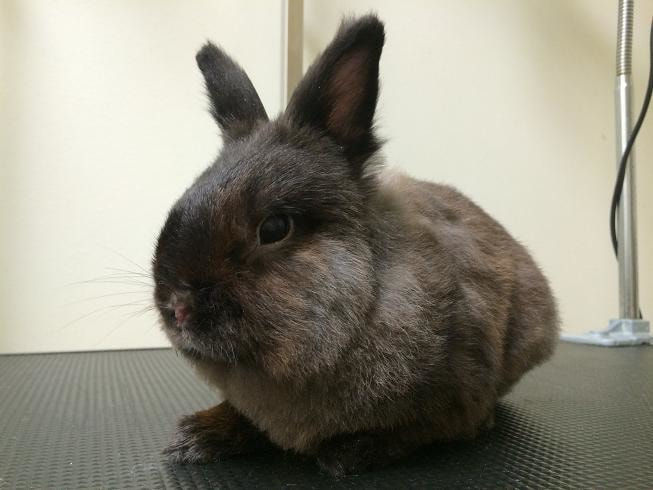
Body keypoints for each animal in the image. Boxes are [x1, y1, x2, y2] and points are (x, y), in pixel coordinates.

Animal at [152, 14, 559, 477]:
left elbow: (421, 428)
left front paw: (348, 451)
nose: (178, 307)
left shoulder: (455, 399)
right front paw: (196, 436)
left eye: (274, 228)